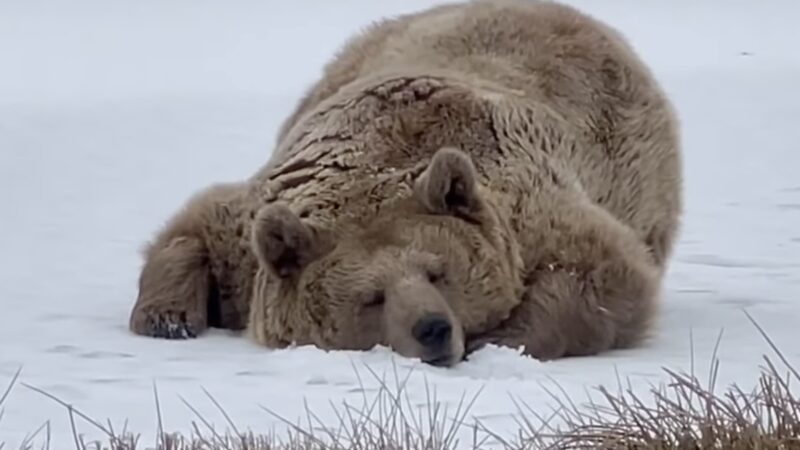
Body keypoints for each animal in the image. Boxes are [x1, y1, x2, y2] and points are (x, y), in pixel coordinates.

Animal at [130, 0, 680, 368]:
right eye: (371, 296)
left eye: (439, 272)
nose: (432, 328)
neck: (374, 168)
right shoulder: (267, 209)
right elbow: (202, 223)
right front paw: (167, 317)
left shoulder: (524, 205)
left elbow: (599, 272)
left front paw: (494, 336)